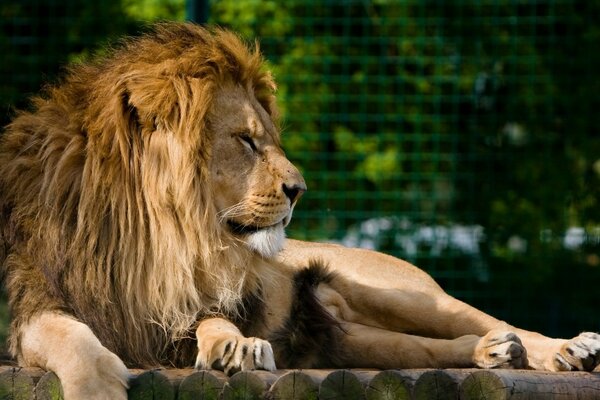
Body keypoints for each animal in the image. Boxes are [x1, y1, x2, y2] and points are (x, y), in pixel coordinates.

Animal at [0, 22, 596, 400]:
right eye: (246, 141)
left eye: (267, 139)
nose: (299, 189)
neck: (158, 237)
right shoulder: (35, 303)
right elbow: (66, 336)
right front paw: (98, 383)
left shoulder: (189, 306)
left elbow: (213, 317)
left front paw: (235, 347)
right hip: (347, 342)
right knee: (431, 349)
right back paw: (493, 355)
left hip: (404, 296)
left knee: (490, 320)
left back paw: (564, 350)